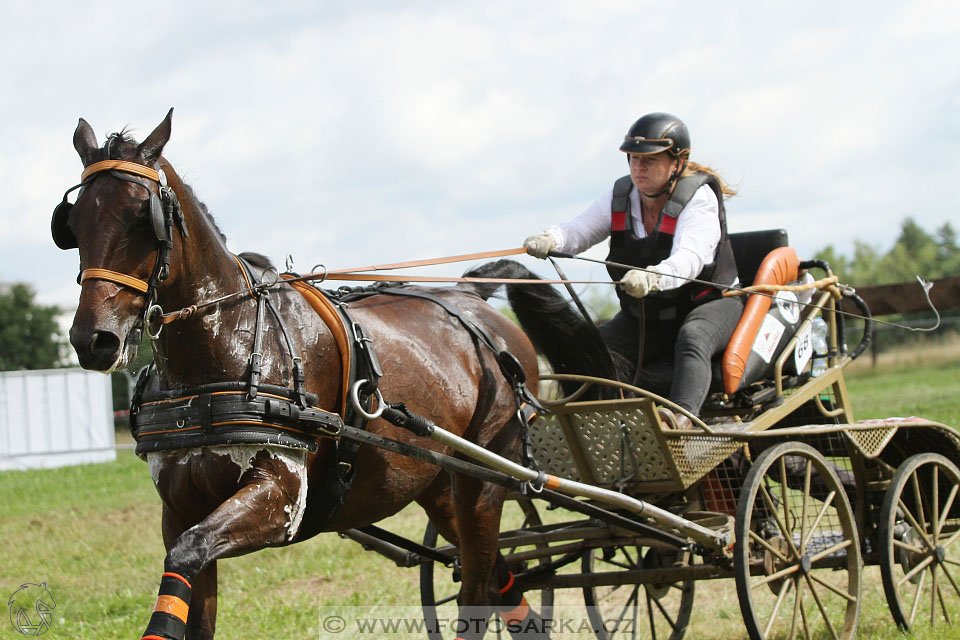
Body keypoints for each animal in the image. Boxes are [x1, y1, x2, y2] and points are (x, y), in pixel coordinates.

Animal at [54, 107, 592, 636]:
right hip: (439, 483)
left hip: (484, 479)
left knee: (478, 587)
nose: (93, 339)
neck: (221, 349)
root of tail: (470, 298)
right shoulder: (181, 509)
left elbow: (189, 553)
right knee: (499, 575)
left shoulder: (280, 499)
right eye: (72, 224)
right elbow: (189, 580)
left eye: (142, 217)